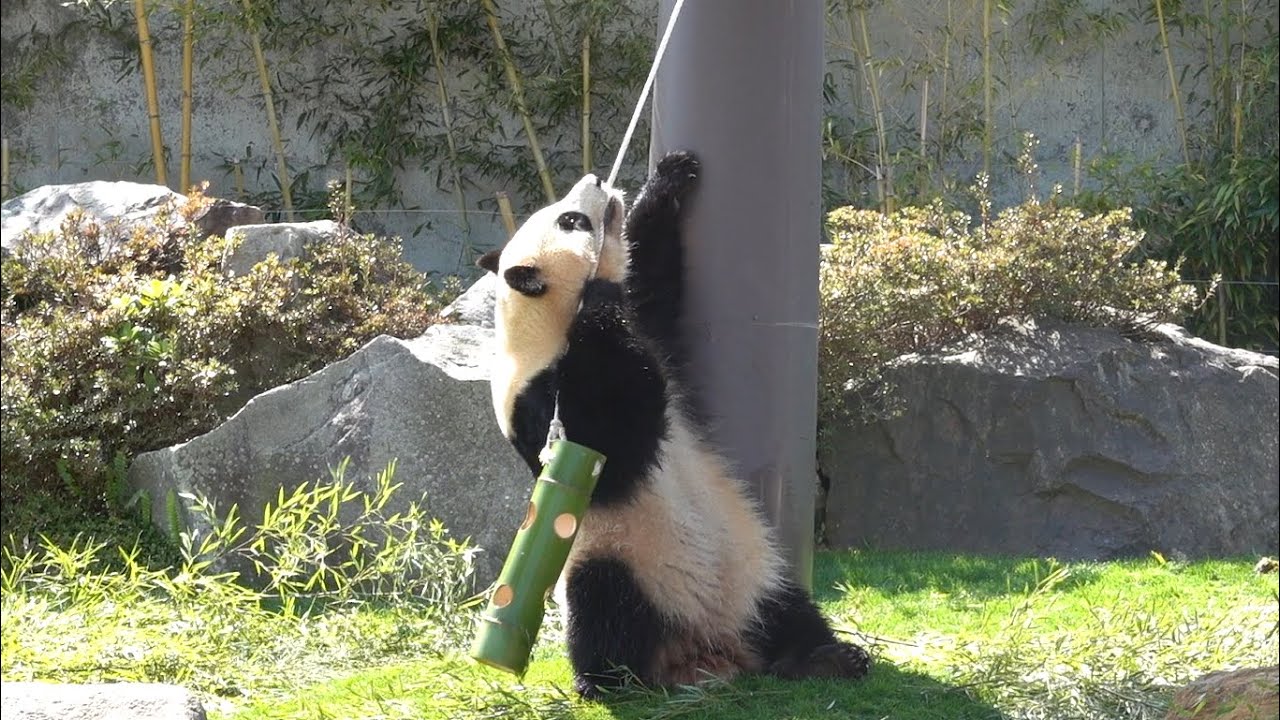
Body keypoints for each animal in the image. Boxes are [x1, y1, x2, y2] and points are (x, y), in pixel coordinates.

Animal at [477, 151, 871, 699]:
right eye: (571, 220)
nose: (596, 179)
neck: (535, 323)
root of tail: (705, 650)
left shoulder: (647, 327)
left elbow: (653, 277)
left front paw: (668, 178)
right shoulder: (537, 392)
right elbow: (605, 442)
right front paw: (597, 297)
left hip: (753, 573)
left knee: (787, 613)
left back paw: (827, 658)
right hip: (619, 554)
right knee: (602, 605)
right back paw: (606, 680)